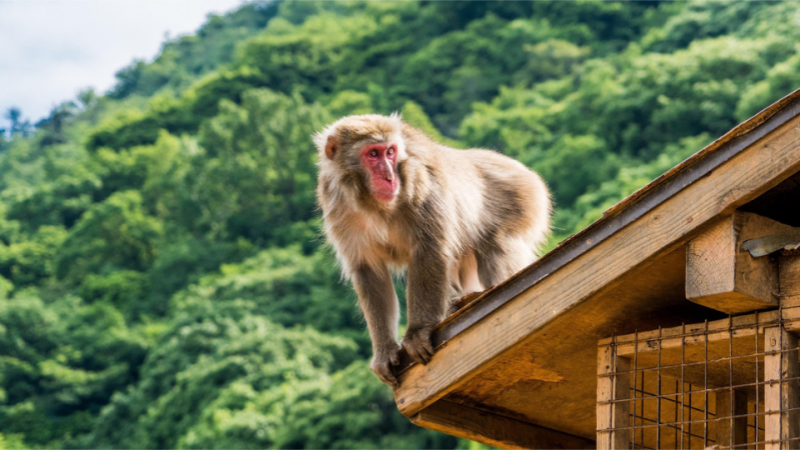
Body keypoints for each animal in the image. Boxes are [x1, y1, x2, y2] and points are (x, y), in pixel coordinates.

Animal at [314, 114, 551, 386]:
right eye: (373, 154)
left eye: (390, 152)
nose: (390, 177)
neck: (373, 203)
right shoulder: (337, 205)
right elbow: (369, 271)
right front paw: (384, 350)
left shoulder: (421, 183)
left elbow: (430, 250)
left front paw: (418, 332)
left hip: (524, 200)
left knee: (497, 245)